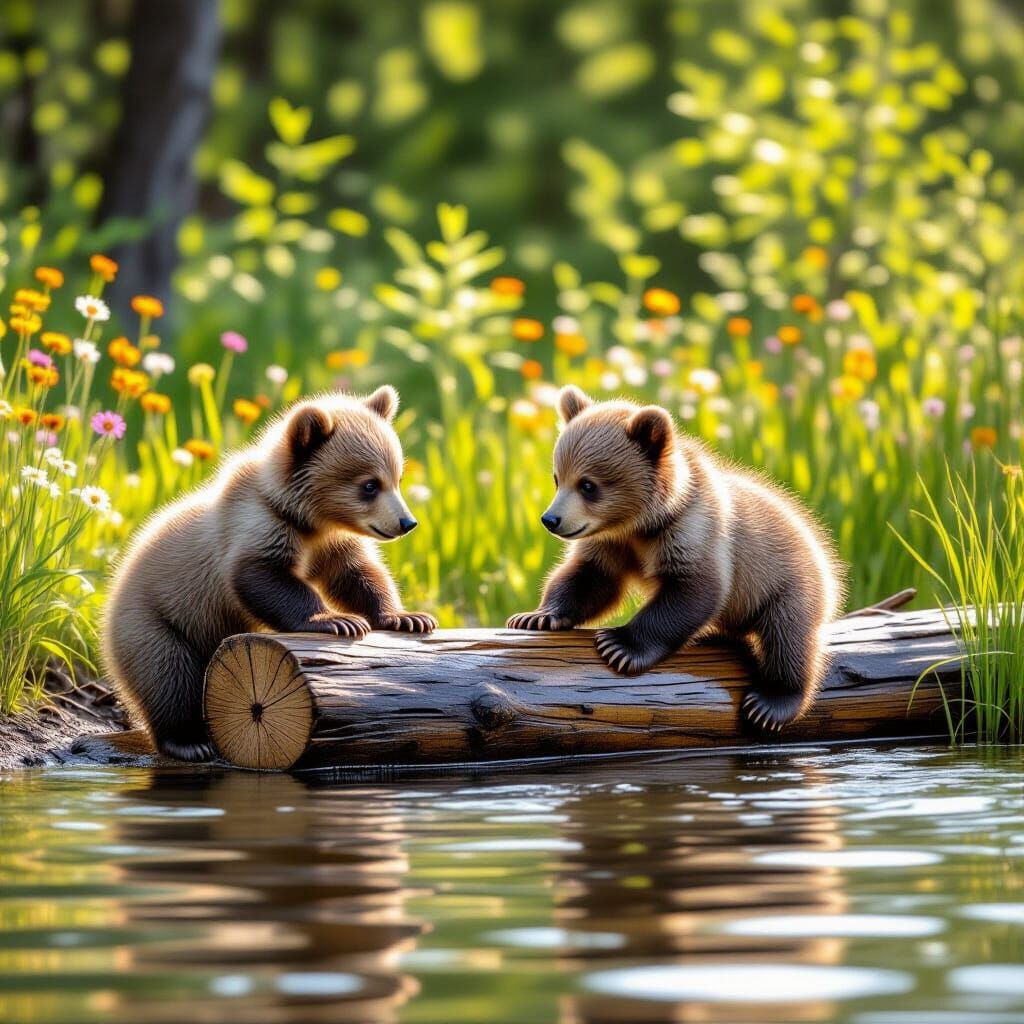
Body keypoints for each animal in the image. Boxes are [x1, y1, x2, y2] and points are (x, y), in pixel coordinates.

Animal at [103, 386, 436, 762]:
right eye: (369, 485)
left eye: (398, 478)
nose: (407, 522)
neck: (309, 521)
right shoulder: (258, 526)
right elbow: (261, 576)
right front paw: (336, 620)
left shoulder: (332, 543)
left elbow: (358, 574)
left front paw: (407, 617)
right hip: (155, 623)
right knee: (167, 676)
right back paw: (189, 741)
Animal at [507, 385, 845, 731]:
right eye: (557, 477)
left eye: (588, 484)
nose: (550, 519)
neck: (641, 525)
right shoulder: (612, 543)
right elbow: (590, 577)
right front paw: (536, 616)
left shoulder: (694, 531)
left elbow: (693, 591)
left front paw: (620, 645)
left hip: (788, 585)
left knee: (787, 638)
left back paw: (770, 703)